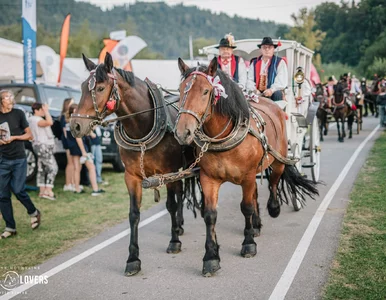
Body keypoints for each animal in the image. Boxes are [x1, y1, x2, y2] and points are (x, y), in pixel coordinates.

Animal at [70, 53, 199, 276]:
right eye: (83, 86)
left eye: (100, 88)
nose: (76, 125)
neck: (142, 129)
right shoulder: (131, 177)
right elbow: (133, 215)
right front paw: (133, 259)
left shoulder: (169, 172)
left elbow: (171, 205)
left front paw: (174, 241)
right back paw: (180, 225)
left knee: (179, 195)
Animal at [173, 57, 318, 276]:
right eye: (181, 90)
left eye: (206, 91)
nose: (183, 132)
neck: (223, 136)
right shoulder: (208, 178)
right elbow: (210, 215)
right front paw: (211, 257)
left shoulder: (247, 176)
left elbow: (247, 207)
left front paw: (248, 244)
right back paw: (257, 224)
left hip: (279, 160)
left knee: (273, 182)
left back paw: (273, 208)